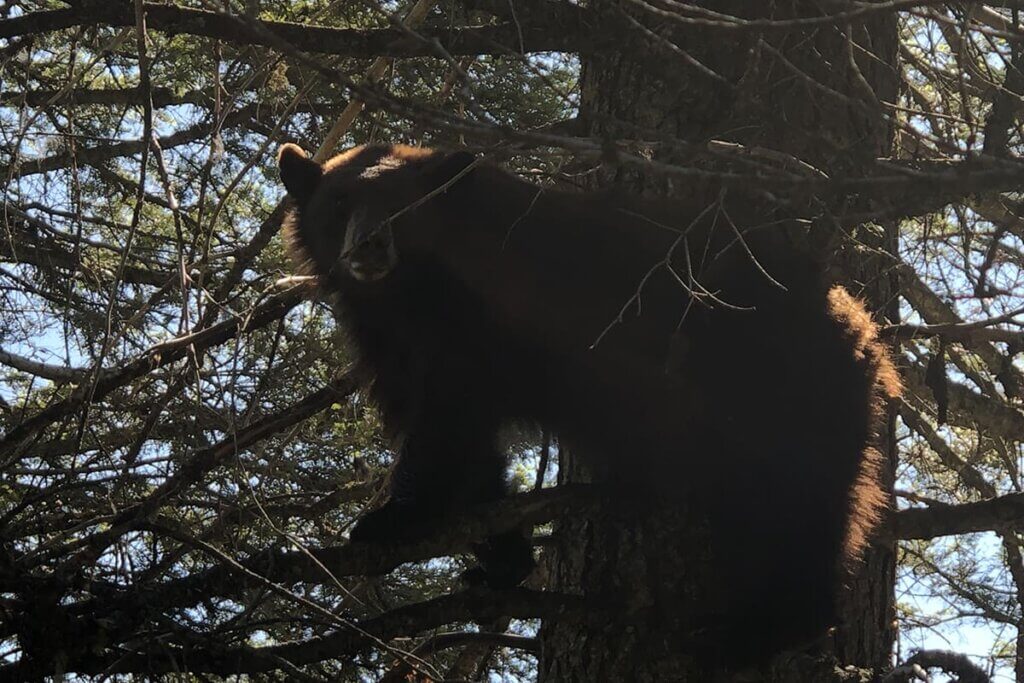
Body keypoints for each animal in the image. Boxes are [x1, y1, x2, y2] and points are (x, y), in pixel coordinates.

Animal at [276, 143, 901, 663]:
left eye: (406, 206)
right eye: (339, 202)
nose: (369, 247)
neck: (409, 290)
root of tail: (868, 332)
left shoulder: (475, 325)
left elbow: (444, 428)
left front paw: (387, 520)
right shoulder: (399, 341)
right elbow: (465, 441)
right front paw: (502, 562)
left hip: (789, 396)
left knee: (805, 509)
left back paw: (766, 629)